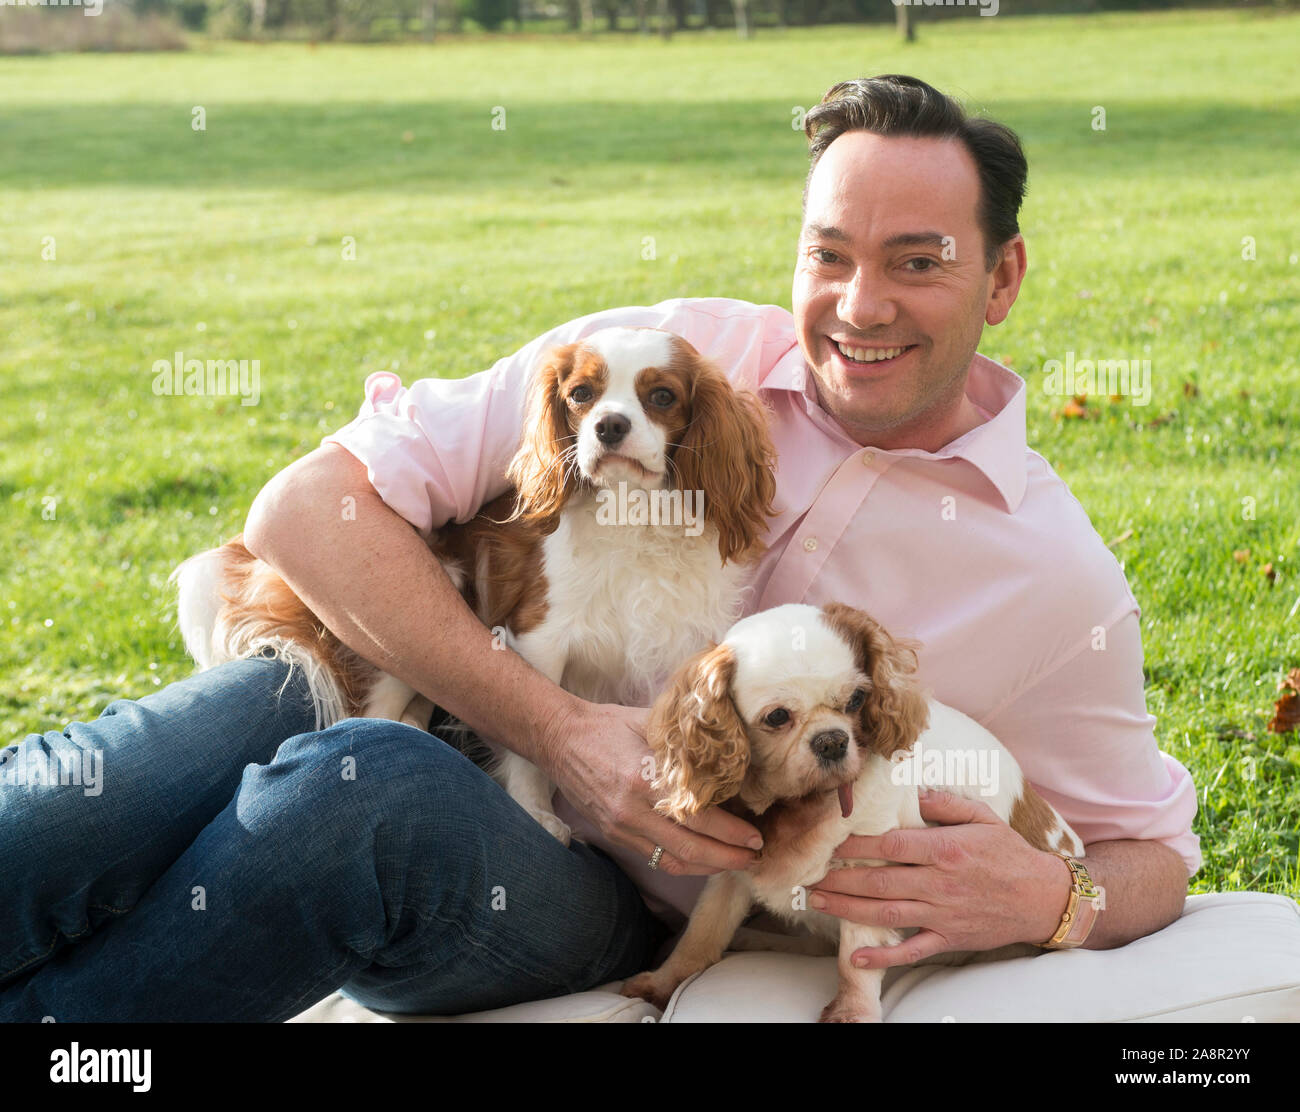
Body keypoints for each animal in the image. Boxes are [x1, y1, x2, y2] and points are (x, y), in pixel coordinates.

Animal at [178, 327, 774, 842]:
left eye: (662, 396)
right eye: (581, 395)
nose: (608, 425)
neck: (634, 515)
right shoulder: (539, 638)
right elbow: (537, 735)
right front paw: (538, 812)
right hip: (415, 617)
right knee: (370, 716)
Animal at [624, 603, 1081, 1019]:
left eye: (858, 699)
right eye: (777, 717)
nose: (832, 740)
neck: (801, 803)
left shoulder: (871, 875)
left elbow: (855, 960)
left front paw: (852, 1011)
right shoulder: (732, 873)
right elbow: (701, 932)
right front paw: (664, 983)